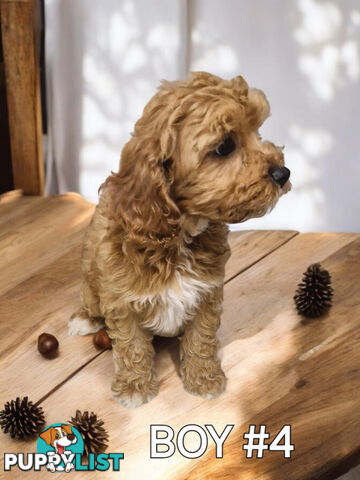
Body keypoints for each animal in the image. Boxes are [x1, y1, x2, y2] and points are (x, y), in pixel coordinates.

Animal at [69, 72, 292, 408]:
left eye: (258, 130)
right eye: (225, 146)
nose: (283, 172)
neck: (179, 236)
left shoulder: (207, 291)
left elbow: (201, 337)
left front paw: (204, 379)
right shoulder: (121, 298)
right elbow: (132, 345)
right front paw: (135, 387)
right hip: (91, 279)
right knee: (90, 299)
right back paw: (84, 319)